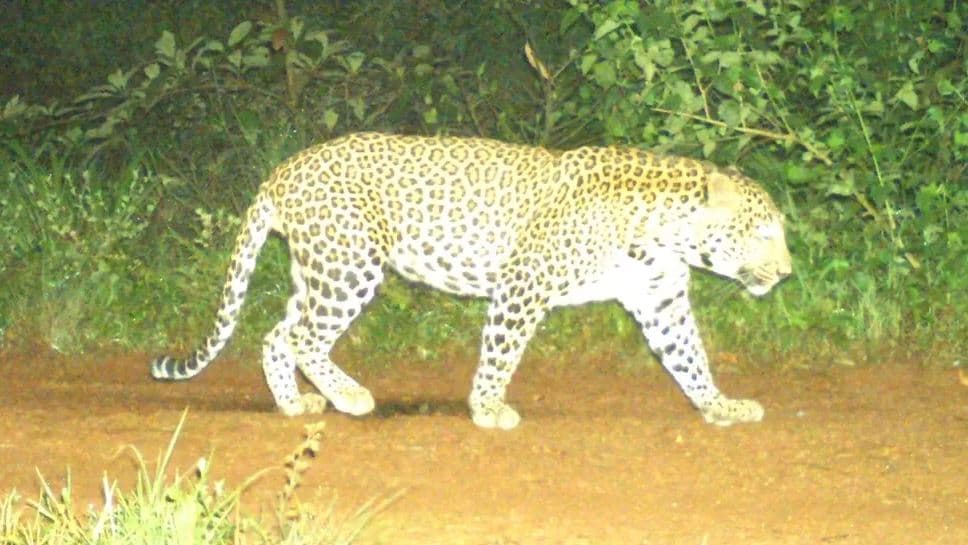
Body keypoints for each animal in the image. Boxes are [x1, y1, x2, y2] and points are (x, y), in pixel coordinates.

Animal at [151, 132, 791, 430]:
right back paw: (351, 397)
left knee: (276, 335)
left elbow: (690, 358)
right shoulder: (524, 283)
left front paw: (721, 405)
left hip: (318, 270)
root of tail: (281, 171)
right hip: (350, 265)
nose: (787, 271)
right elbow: (501, 353)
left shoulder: (659, 298)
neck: (663, 231)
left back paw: (294, 405)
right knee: (306, 338)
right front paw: (487, 408)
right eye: (763, 232)